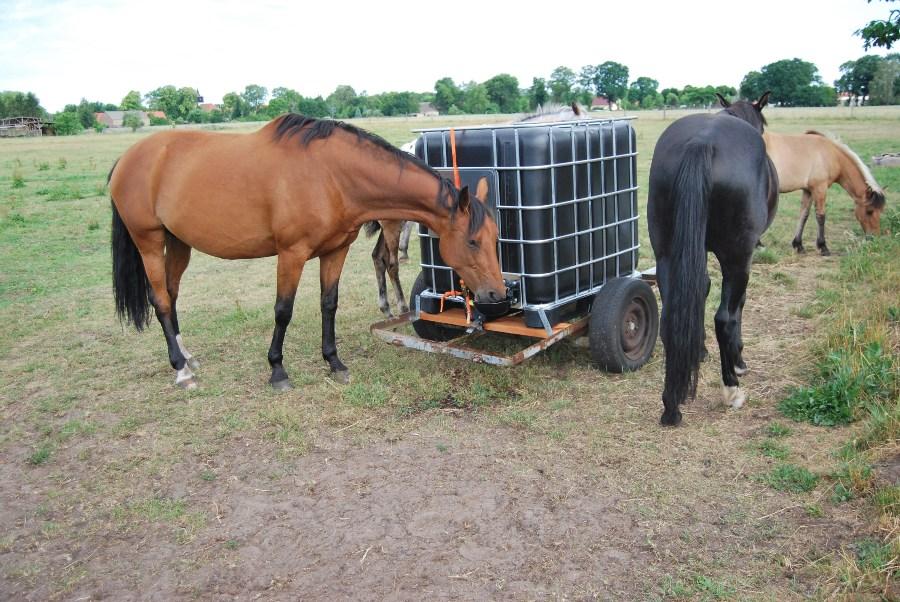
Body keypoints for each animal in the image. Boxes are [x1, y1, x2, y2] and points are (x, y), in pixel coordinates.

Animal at [109, 113, 506, 390]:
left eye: (495, 238)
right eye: (473, 241)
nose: (497, 295)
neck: (331, 175)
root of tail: (128, 158)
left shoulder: (336, 251)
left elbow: (328, 304)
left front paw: (335, 363)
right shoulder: (291, 254)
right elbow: (283, 310)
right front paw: (277, 370)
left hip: (178, 242)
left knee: (172, 295)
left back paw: (187, 357)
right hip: (148, 241)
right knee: (161, 301)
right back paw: (181, 371)